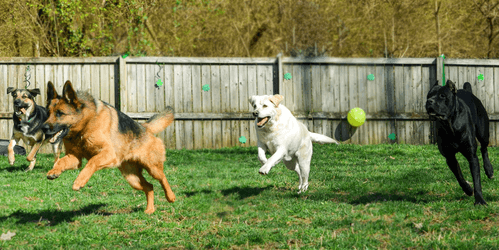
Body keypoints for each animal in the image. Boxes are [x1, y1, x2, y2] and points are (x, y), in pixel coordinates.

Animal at [43, 81, 177, 214]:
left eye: (60, 113)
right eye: (48, 113)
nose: (43, 128)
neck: (85, 125)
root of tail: (145, 127)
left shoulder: (108, 153)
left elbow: (92, 162)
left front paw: (79, 181)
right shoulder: (74, 158)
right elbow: (61, 162)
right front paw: (54, 171)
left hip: (152, 168)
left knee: (162, 178)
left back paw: (171, 197)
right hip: (132, 179)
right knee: (149, 186)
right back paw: (150, 209)